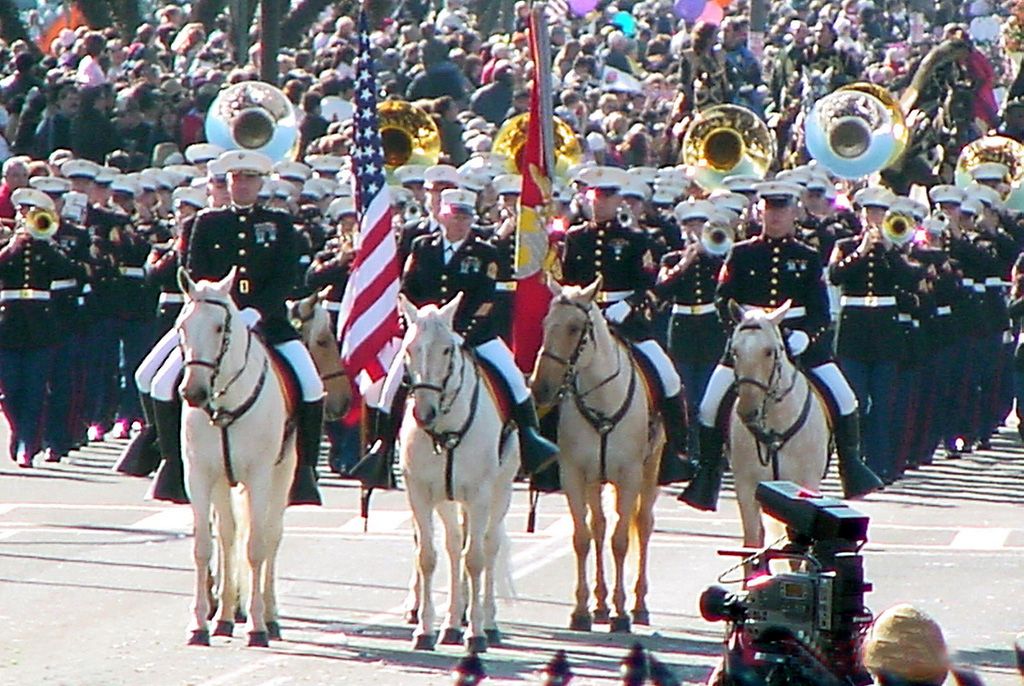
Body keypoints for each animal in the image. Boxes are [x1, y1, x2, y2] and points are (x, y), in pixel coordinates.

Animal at [176, 270, 294, 651]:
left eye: (219, 328)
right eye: (182, 326)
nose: (193, 393)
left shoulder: (259, 476)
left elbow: (257, 547)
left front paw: (257, 627)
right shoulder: (199, 475)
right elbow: (203, 547)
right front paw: (199, 624)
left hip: (283, 474)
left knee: (272, 536)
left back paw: (269, 617)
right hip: (221, 483)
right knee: (228, 538)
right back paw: (225, 618)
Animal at [395, 294, 516, 655]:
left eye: (447, 349)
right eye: (409, 348)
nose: (425, 412)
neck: (446, 429)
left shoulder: (479, 495)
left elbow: (475, 558)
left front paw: (475, 633)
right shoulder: (420, 493)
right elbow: (428, 556)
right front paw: (424, 630)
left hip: (500, 493)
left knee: (488, 547)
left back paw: (488, 623)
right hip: (447, 502)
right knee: (452, 546)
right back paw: (450, 623)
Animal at [528, 278, 663, 634]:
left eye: (575, 328)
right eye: (545, 325)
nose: (539, 388)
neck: (602, 399)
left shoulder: (629, 476)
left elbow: (621, 541)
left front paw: (622, 612)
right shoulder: (574, 474)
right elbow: (583, 537)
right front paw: (582, 610)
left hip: (651, 471)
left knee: (643, 525)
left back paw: (639, 605)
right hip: (595, 481)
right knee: (599, 526)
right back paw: (600, 605)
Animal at [729, 303, 831, 552]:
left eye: (769, 351)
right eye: (735, 351)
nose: (748, 411)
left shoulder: (805, 486)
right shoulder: (747, 487)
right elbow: (751, 544)